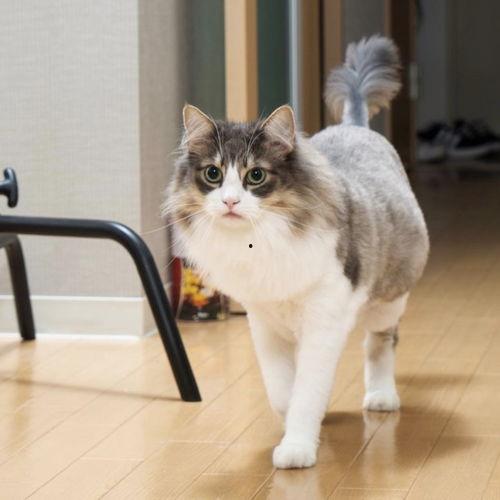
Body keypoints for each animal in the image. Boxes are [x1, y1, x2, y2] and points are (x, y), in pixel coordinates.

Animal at [165, 35, 429, 469]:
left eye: (255, 175)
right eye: (213, 174)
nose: (231, 202)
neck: (265, 244)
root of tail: (353, 125)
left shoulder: (322, 322)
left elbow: (307, 391)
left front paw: (297, 448)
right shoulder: (264, 324)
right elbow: (282, 390)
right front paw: (297, 421)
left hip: (389, 299)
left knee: (380, 342)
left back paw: (381, 397)